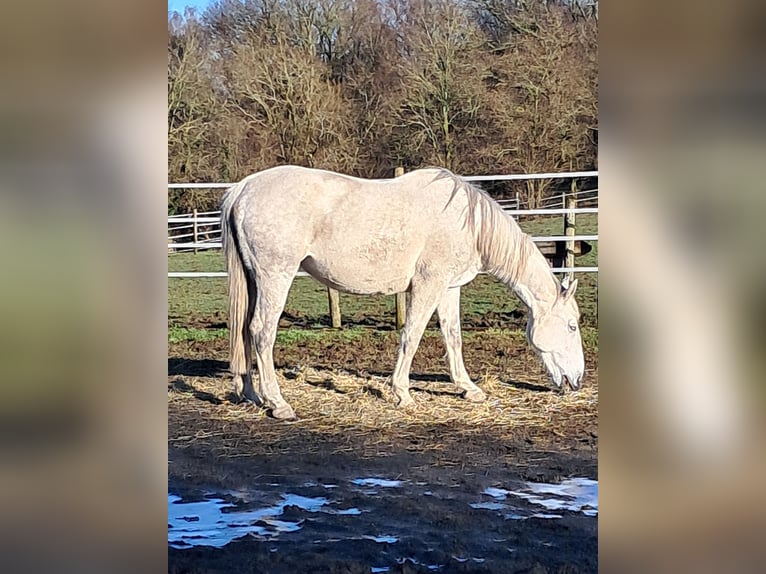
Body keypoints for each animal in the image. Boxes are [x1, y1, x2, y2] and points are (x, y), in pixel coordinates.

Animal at [221, 166, 584, 419]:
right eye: (571, 326)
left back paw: (250, 394)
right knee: (262, 332)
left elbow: (453, 336)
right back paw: (278, 403)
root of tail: (243, 189)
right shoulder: (428, 284)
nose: (577, 380)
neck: (468, 223)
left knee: (243, 331)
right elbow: (412, 335)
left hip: (253, 281)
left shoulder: (449, 288)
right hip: (275, 278)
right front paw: (402, 393)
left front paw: (468, 389)